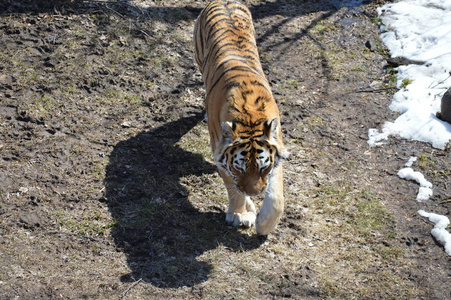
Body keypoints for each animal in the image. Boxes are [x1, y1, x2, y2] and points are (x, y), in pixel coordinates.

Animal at [194, 0, 290, 236]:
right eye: (240, 167)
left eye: (263, 167)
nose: (255, 193)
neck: (250, 119)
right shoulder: (220, 153)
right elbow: (234, 188)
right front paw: (240, 213)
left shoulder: (277, 149)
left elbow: (276, 197)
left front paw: (264, 225)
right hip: (199, 57)